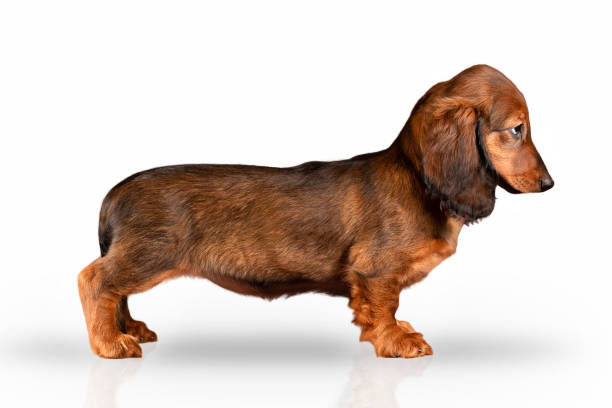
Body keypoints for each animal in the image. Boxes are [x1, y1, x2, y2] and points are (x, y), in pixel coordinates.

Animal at [77, 63, 556, 356]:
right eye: (518, 129)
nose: (549, 184)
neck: (416, 180)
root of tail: (115, 193)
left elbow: (383, 309)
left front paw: (396, 334)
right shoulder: (375, 272)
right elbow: (384, 307)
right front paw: (396, 343)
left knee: (117, 292)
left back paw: (128, 330)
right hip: (149, 256)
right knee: (95, 281)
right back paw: (110, 344)